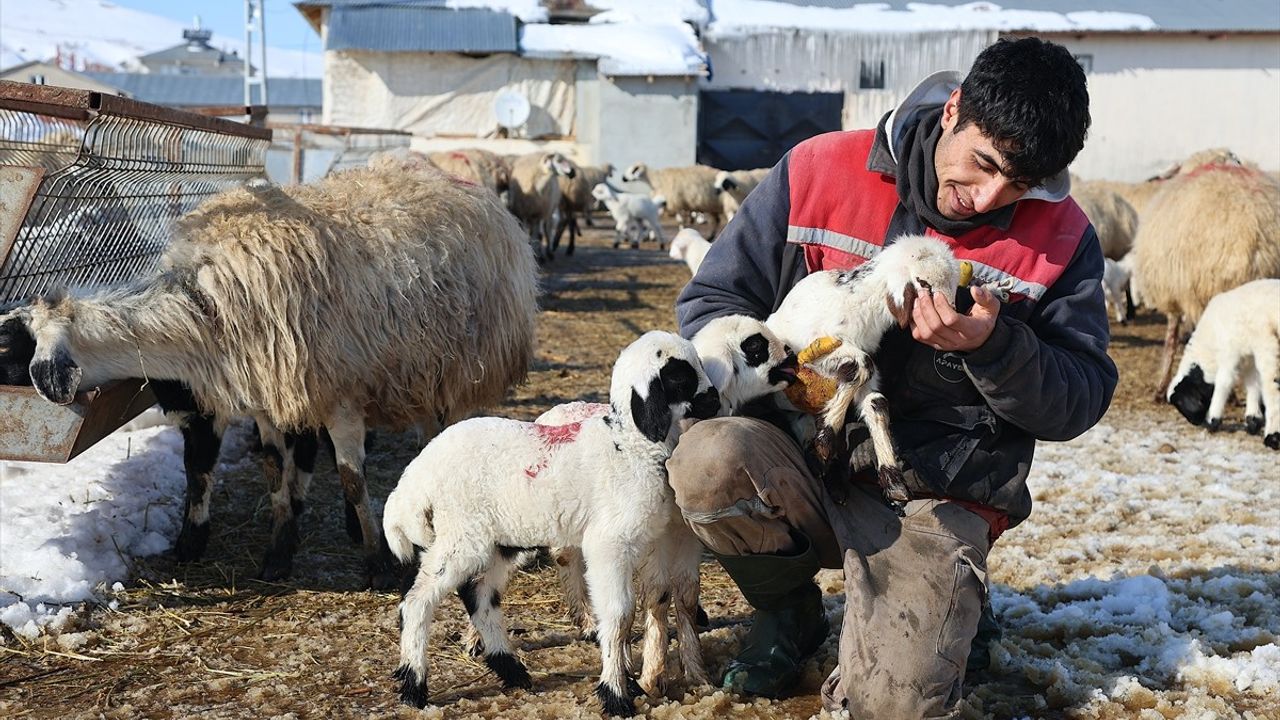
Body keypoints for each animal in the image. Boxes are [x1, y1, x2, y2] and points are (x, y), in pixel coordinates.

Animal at [0, 159, 540, 586]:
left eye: (5, 347)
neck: (203, 311)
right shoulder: (267, 400)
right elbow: (274, 472)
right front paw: (279, 552)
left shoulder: (337, 397)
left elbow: (351, 479)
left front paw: (377, 565)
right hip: (425, 372)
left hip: (461, 367)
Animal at [378, 330, 721, 712]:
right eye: (679, 375)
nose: (716, 400)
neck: (630, 444)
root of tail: (416, 473)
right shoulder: (609, 544)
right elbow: (619, 616)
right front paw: (616, 694)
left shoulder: (654, 537)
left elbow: (656, 600)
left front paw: (636, 681)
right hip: (461, 534)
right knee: (417, 601)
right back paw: (414, 685)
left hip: (501, 538)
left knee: (479, 595)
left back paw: (512, 671)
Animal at [757, 234, 962, 509]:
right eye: (923, 283)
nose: (952, 316)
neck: (863, 302)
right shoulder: (815, 347)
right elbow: (863, 366)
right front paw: (825, 441)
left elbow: (876, 403)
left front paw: (894, 482)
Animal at [1172, 275, 1280, 448]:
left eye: (1181, 402)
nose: (1194, 422)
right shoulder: (1248, 353)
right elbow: (1253, 382)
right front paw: (1253, 420)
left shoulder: (1238, 350)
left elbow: (1225, 381)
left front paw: (1213, 420)